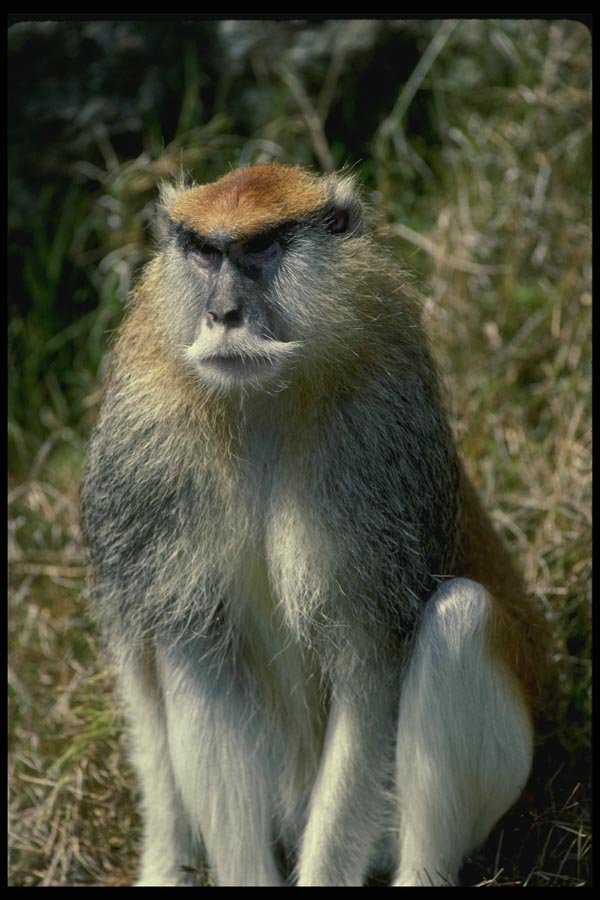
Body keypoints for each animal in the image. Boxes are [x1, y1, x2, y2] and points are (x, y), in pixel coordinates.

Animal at [81, 162, 546, 887]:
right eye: (205, 253)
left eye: (260, 249)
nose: (222, 314)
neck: (262, 401)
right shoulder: (143, 444)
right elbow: (148, 656)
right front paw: (166, 856)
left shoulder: (381, 436)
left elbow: (369, 672)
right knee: (190, 643)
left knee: (459, 620)